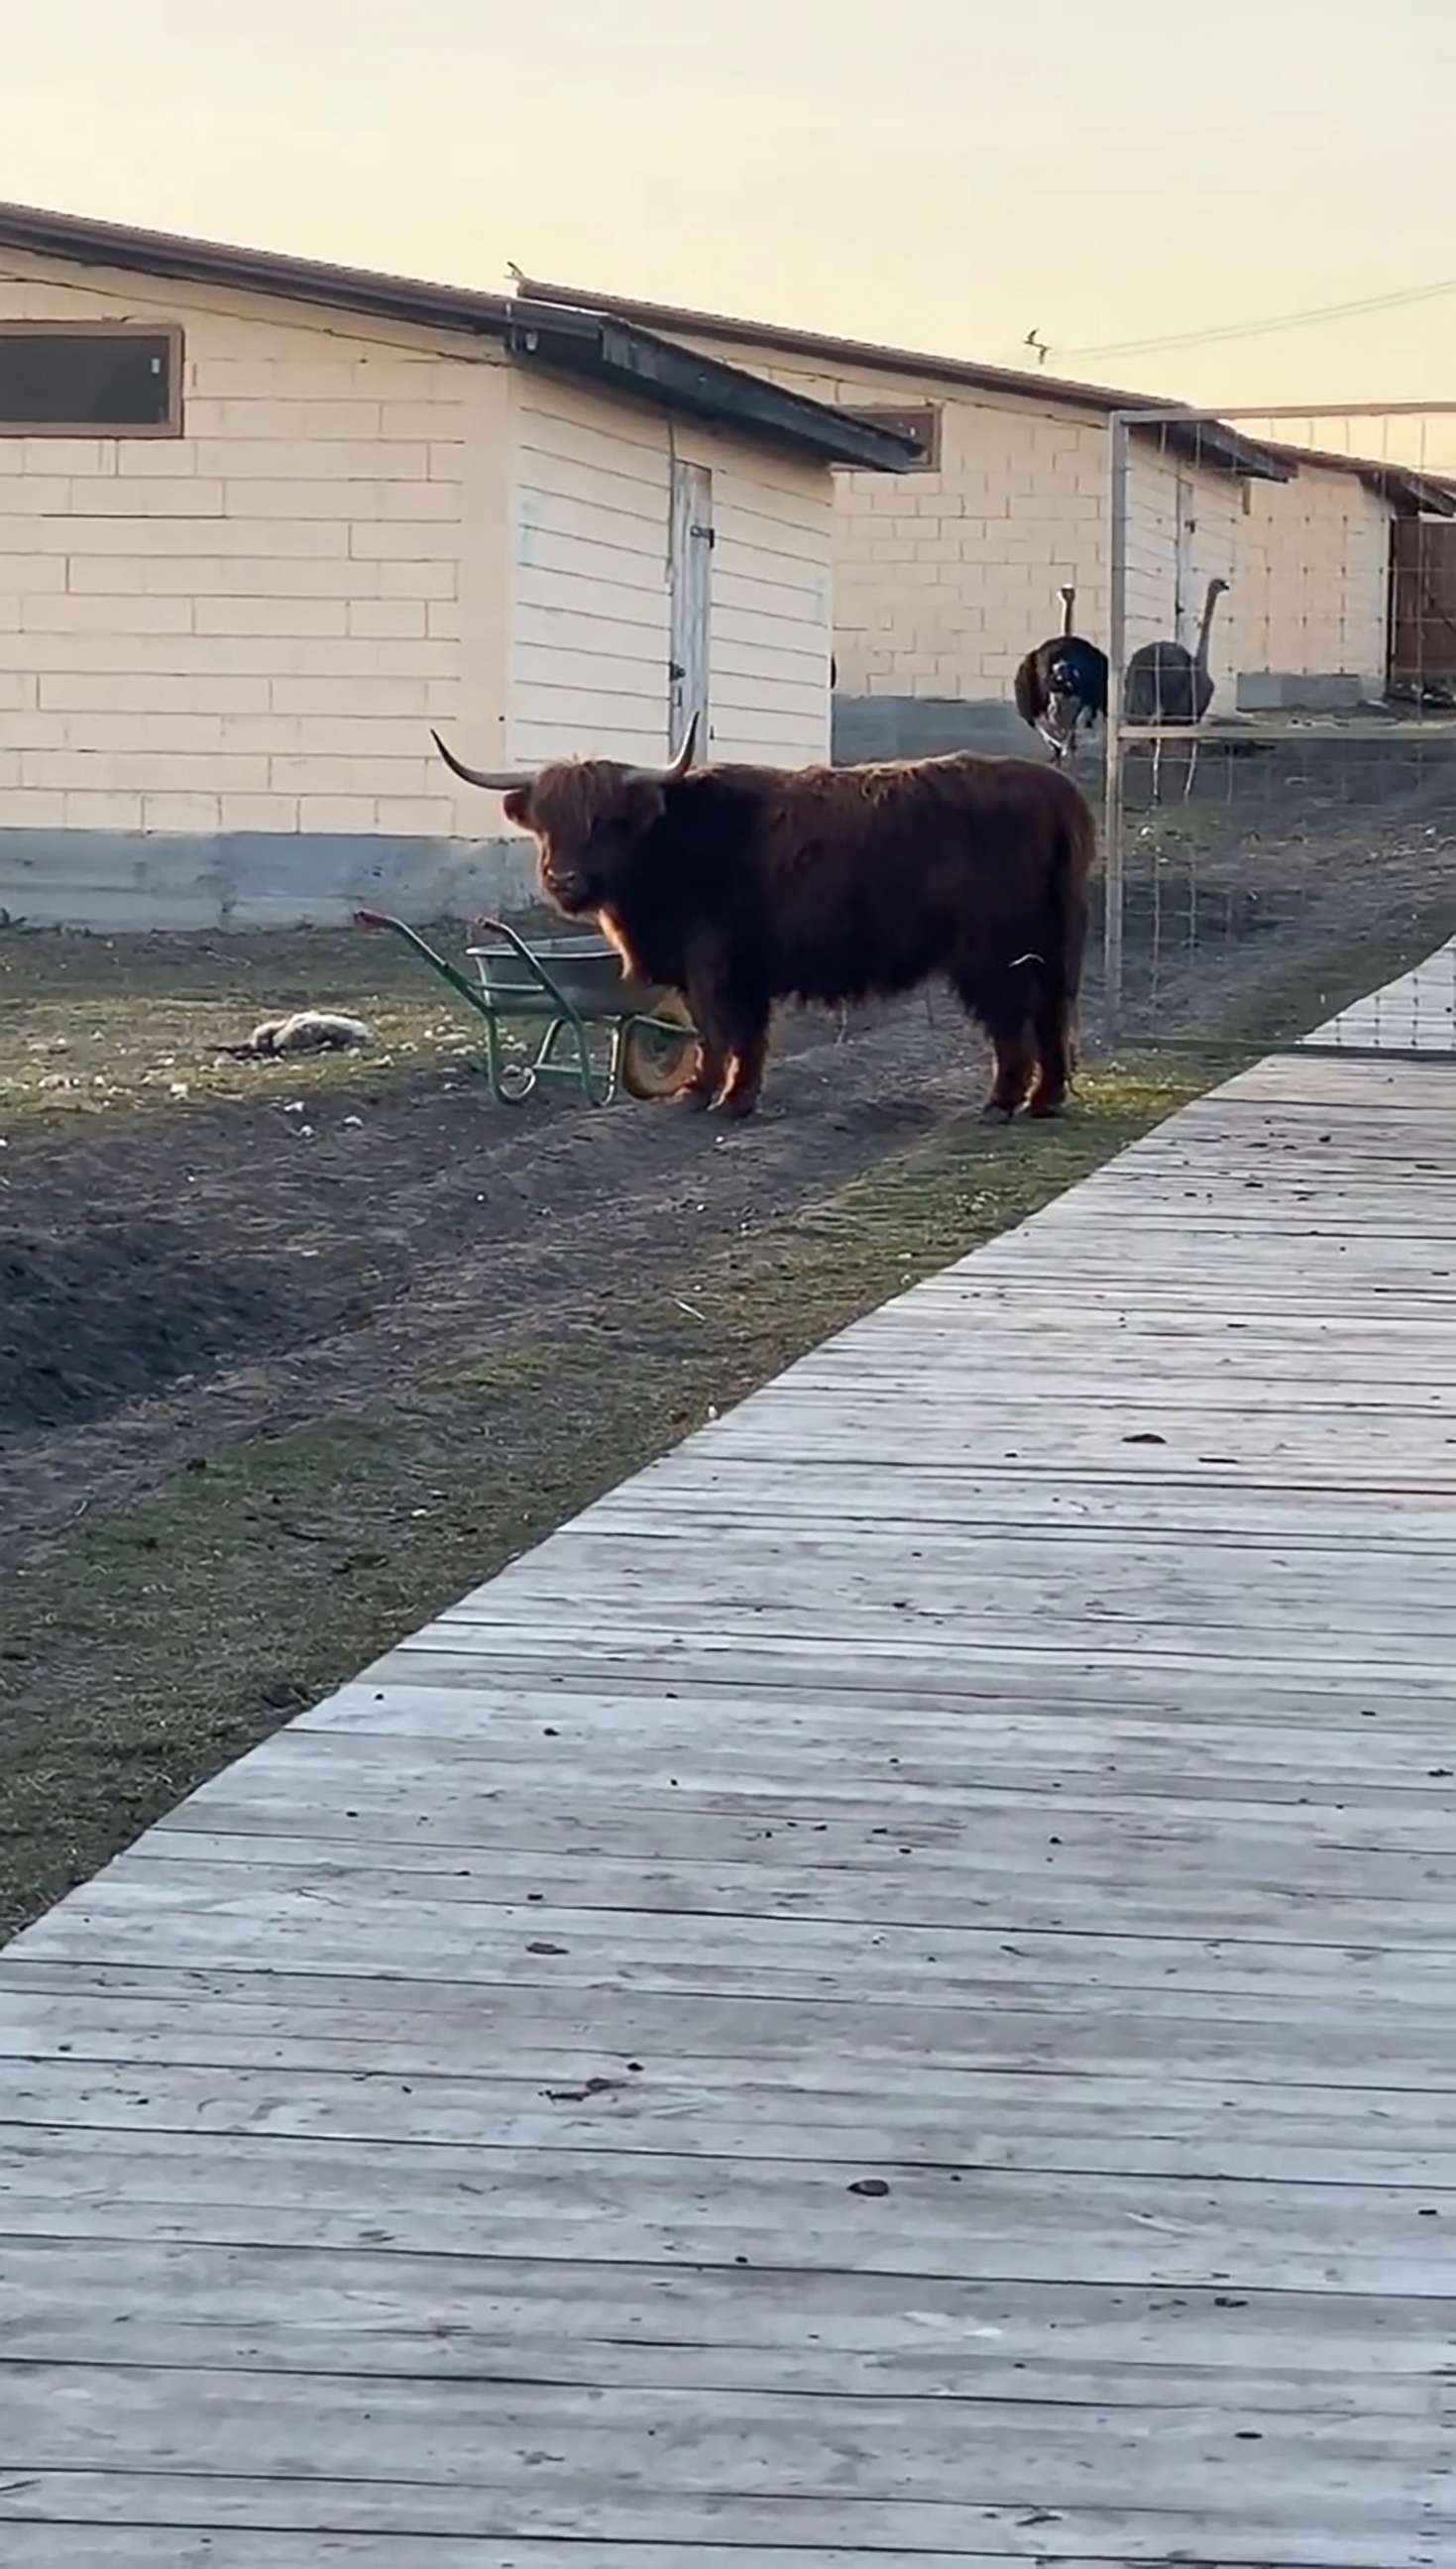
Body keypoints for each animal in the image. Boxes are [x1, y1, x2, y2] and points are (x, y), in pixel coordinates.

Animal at [433, 724, 1093, 1125]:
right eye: (546, 823)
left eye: (606, 822)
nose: (563, 879)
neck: (671, 843)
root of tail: (1051, 787)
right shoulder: (719, 969)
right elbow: (724, 1033)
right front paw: (705, 1091)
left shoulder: (716, 963)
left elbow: (725, 1030)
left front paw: (724, 1099)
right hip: (1049, 946)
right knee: (1050, 1016)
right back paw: (1044, 1101)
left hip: (994, 952)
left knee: (1012, 1022)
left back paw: (1002, 1101)